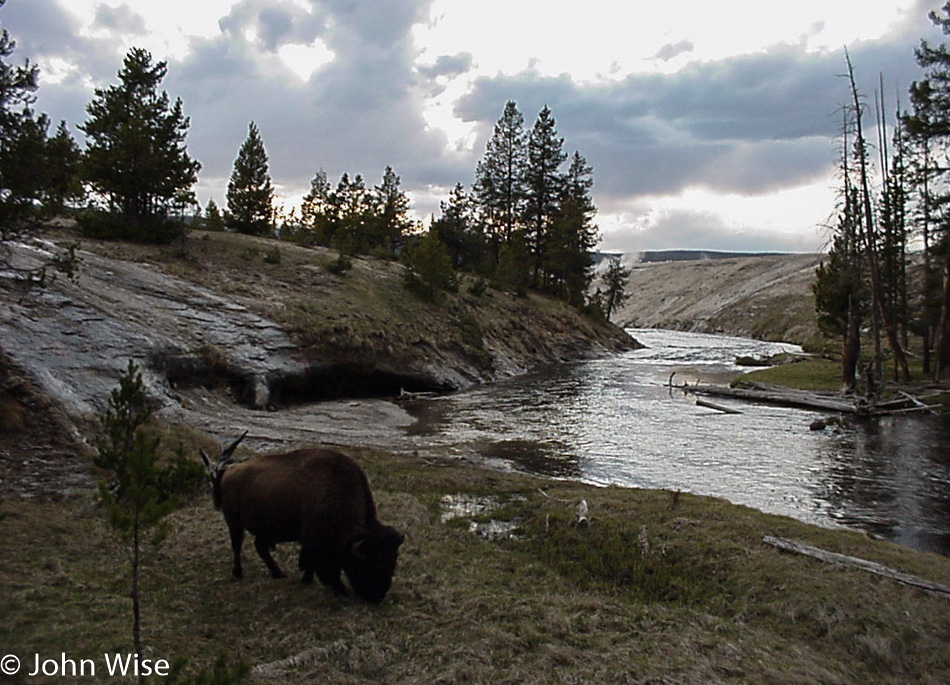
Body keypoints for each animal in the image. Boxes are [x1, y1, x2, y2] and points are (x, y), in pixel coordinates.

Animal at [203, 436, 404, 600]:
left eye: (393, 563)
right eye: (371, 564)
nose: (377, 596)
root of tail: (229, 470)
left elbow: (310, 561)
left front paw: (308, 579)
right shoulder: (315, 542)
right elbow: (325, 567)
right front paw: (339, 589)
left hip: (265, 529)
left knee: (260, 547)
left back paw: (278, 573)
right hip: (234, 522)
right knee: (237, 545)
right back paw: (238, 573)